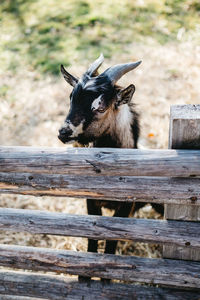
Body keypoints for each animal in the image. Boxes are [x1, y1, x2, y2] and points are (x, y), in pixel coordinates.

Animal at [57, 55, 164, 282]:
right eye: (71, 97)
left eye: (100, 107)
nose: (64, 132)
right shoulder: (91, 201)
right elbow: (92, 235)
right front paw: (84, 278)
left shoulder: (125, 206)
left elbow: (112, 238)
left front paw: (106, 280)